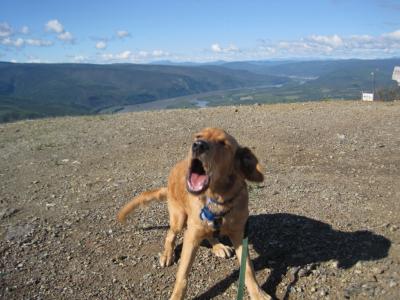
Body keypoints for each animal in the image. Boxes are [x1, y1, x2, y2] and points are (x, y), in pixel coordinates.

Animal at [117, 127, 270, 298]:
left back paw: (218, 246)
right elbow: (182, 275)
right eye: (198, 136)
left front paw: (258, 294)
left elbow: (248, 269)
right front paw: (176, 296)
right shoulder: (191, 236)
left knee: (209, 234)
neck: (216, 200)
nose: (198, 145)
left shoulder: (239, 234)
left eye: (223, 143)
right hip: (179, 218)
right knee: (170, 235)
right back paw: (168, 254)